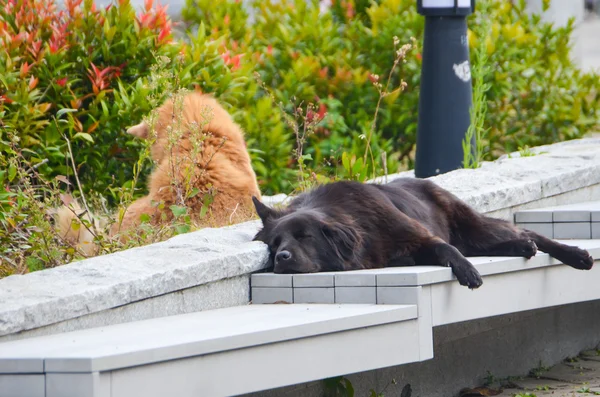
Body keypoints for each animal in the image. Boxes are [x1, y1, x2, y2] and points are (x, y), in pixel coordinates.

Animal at [251, 179, 592, 288]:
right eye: (275, 245)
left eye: (304, 236)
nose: (282, 258)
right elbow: (446, 250)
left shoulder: (420, 236)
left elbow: (446, 249)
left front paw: (468, 272)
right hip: (476, 238)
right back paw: (521, 247)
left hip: (474, 226)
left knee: (526, 230)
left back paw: (575, 255)